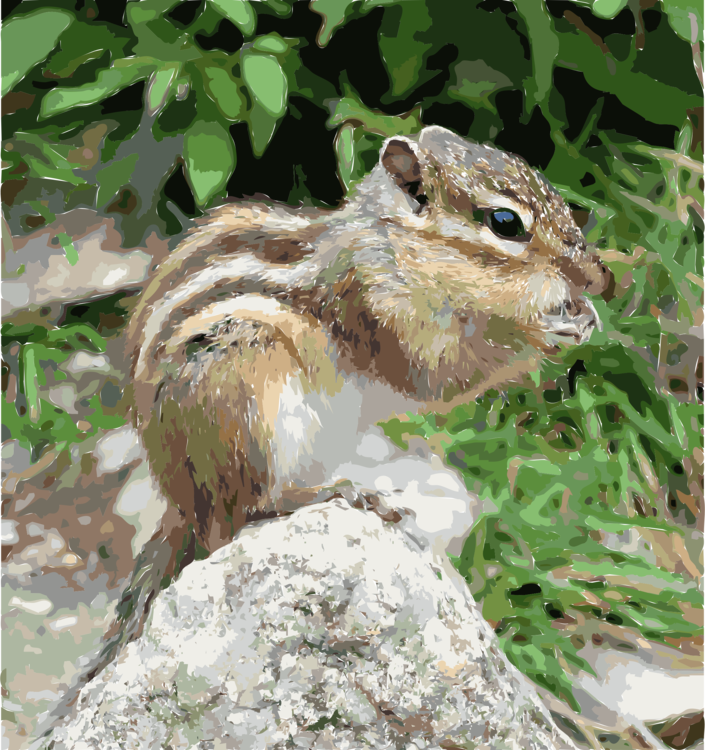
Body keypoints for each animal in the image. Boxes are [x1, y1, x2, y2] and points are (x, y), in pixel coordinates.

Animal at [58, 125, 610, 717]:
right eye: (505, 223)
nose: (601, 277)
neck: (398, 247)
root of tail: (178, 500)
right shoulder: (375, 306)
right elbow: (439, 374)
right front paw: (539, 330)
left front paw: (583, 315)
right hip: (244, 387)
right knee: (241, 514)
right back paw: (331, 495)